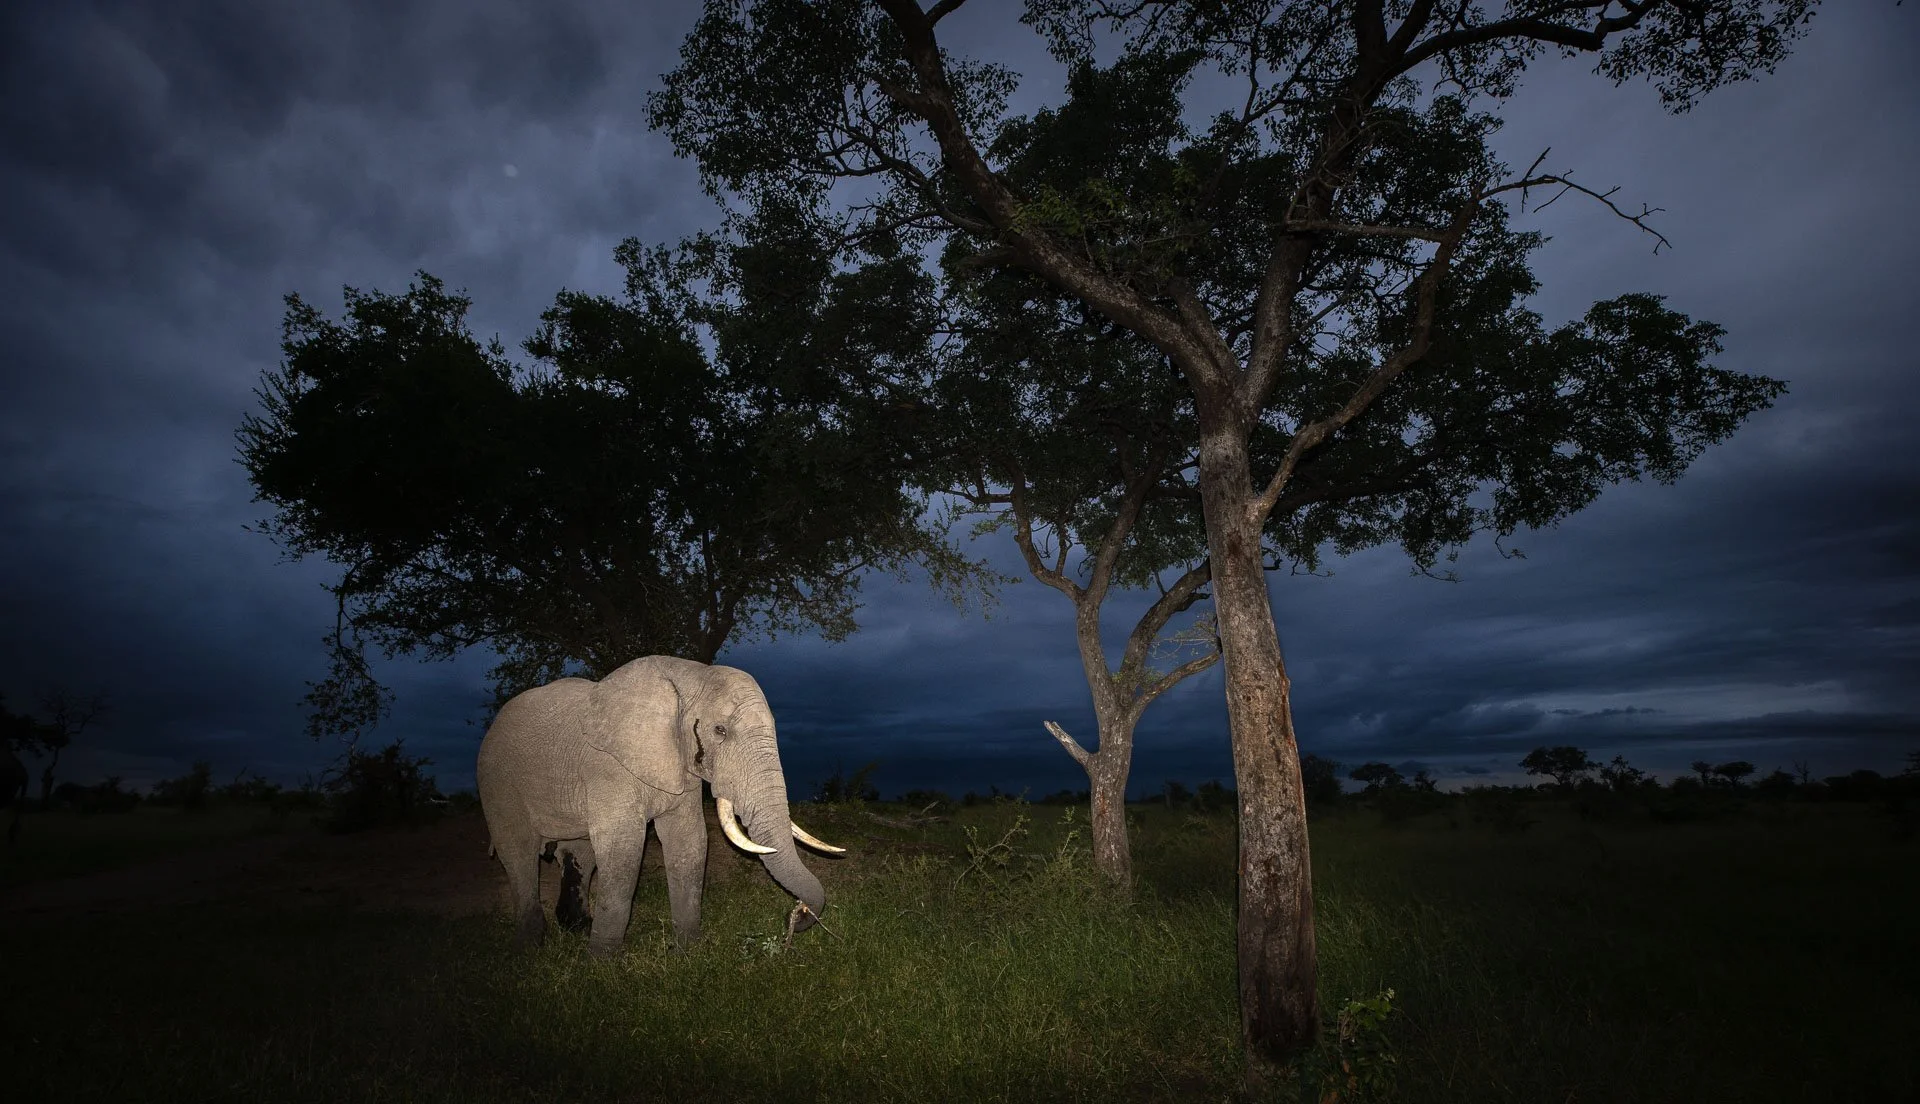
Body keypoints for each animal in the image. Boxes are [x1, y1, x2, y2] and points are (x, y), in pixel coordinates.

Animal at [476, 655, 844, 956]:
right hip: (497, 781)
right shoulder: (607, 766)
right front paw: (602, 964)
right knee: (519, 853)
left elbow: (690, 842)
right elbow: (624, 850)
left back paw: (576, 929)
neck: (689, 675)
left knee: (579, 852)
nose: (796, 915)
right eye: (719, 730)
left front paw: (688, 953)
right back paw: (529, 948)